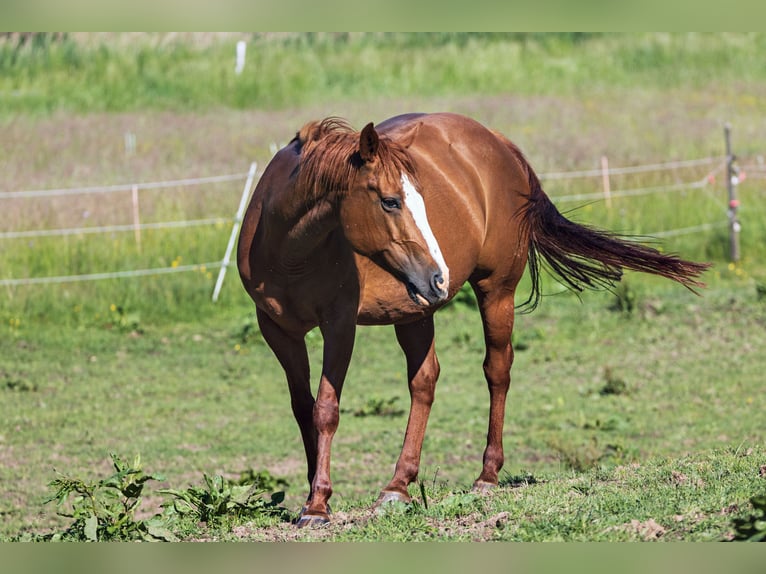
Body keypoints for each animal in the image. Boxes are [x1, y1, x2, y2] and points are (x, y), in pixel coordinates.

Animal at [237, 111, 712, 528]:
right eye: (390, 201)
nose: (439, 277)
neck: (291, 248)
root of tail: (500, 144)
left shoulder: (340, 325)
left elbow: (326, 409)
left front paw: (318, 505)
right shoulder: (276, 330)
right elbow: (303, 409)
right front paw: (312, 494)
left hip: (495, 290)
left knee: (496, 371)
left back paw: (486, 476)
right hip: (414, 310)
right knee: (424, 382)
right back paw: (398, 486)